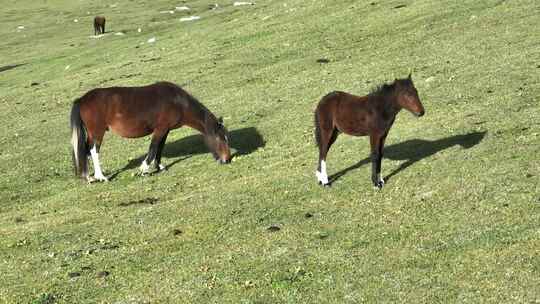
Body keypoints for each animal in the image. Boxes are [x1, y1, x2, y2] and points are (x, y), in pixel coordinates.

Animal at [70, 81, 231, 182]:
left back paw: (89, 176)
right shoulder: (160, 129)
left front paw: (159, 167)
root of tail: (82, 99)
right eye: (220, 139)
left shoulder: (165, 130)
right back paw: (101, 177)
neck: (177, 102)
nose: (227, 159)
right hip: (97, 132)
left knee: (85, 150)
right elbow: (153, 148)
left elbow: (160, 148)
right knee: (93, 150)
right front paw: (143, 170)